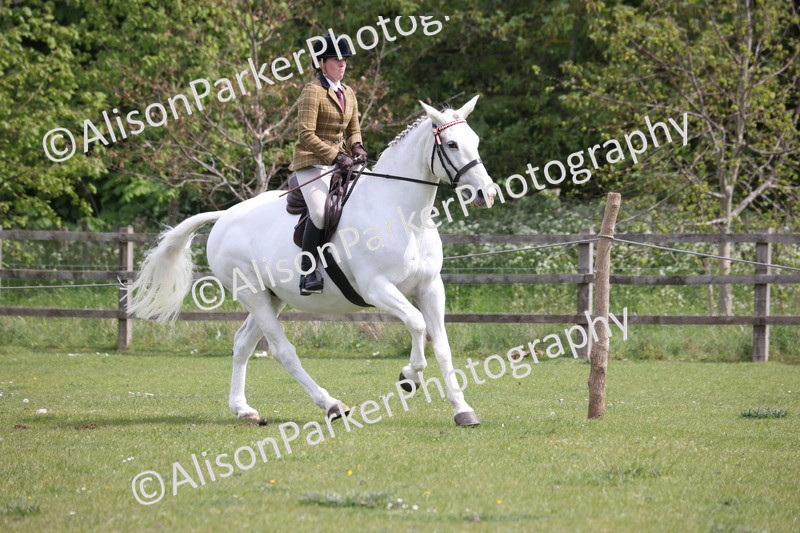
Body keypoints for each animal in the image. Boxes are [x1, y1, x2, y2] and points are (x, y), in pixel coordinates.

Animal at [128, 96, 497, 426]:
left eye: (475, 141)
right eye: (451, 144)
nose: (487, 193)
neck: (403, 216)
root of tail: (225, 216)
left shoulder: (430, 288)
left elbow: (442, 345)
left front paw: (463, 410)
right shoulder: (377, 288)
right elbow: (418, 324)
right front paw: (409, 377)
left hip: (272, 297)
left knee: (243, 343)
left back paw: (244, 410)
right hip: (252, 294)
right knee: (282, 350)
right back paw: (331, 405)